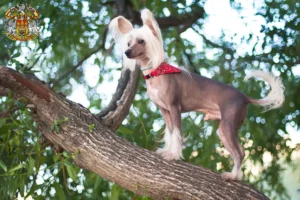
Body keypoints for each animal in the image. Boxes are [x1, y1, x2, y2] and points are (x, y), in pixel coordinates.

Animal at [109, 8, 284, 180]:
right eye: (128, 43)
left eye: (141, 41)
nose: (127, 52)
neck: (156, 73)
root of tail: (244, 96)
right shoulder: (165, 111)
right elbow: (171, 133)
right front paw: (168, 151)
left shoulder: (175, 108)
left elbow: (177, 133)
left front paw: (173, 155)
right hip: (223, 130)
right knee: (239, 152)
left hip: (228, 125)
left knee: (240, 153)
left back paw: (233, 176)